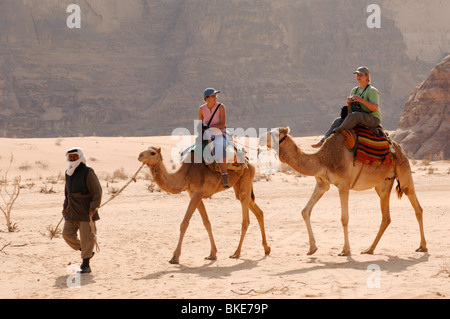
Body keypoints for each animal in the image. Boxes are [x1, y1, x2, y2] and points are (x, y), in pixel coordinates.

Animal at [137, 148, 270, 264]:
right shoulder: (194, 194)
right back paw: (266, 249)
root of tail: (249, 162)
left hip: (245, 181)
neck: (185, 174)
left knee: (245, 219)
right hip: (239, 185)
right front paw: (212, 254)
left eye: (152, 153)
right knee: (258, 212)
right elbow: (207, 223)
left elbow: (184, 223)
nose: (139, 156)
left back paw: (236, 253)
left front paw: (175, 257)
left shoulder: (197, 193)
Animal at [258, 127, 428, 258]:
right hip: (383, 184)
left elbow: (344, 218)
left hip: (403, 169)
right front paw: (312, 248)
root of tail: (398, 147)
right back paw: (369, 249)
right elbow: (305, 211)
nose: (259, 140)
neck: (323, 159)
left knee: (416, 205)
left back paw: (423, 246)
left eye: (274, 134)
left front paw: (345, 250)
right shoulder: (322, 184)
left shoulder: (343, 185)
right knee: (386, 217)